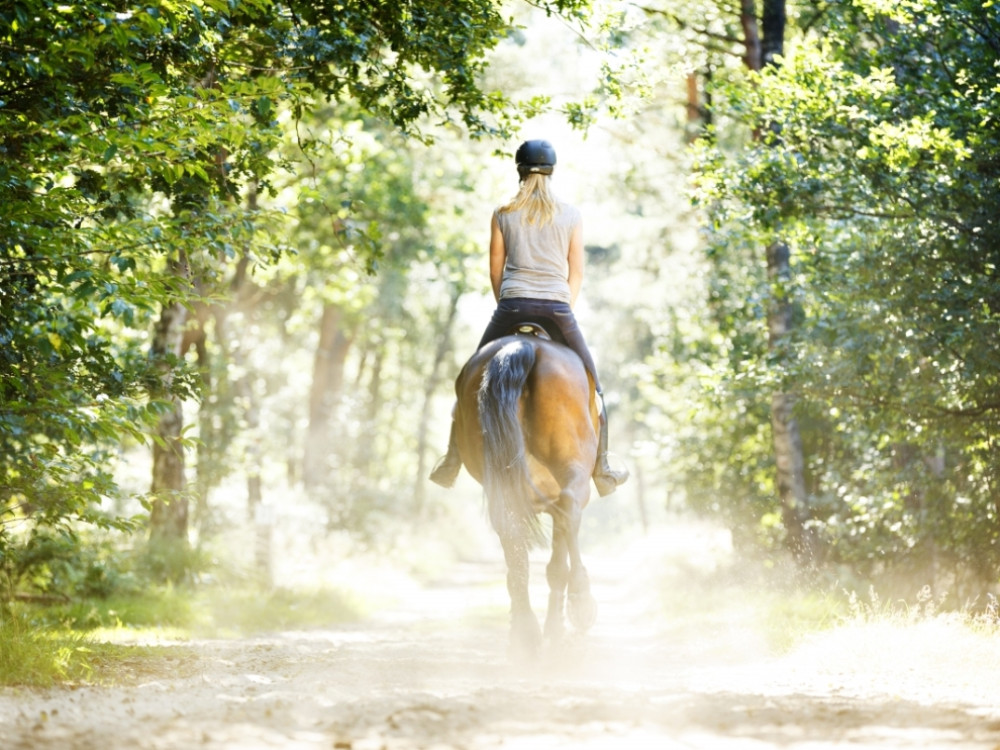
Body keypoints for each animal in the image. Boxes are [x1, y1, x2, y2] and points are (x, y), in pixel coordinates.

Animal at [454, 332, 600, 660]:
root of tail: (522, 345)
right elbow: (557, 565)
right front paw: (556, 631)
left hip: (503, 484)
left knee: (511, 543)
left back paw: (525, 633)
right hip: (573, 465)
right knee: (570, 505)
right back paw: (582, 601)